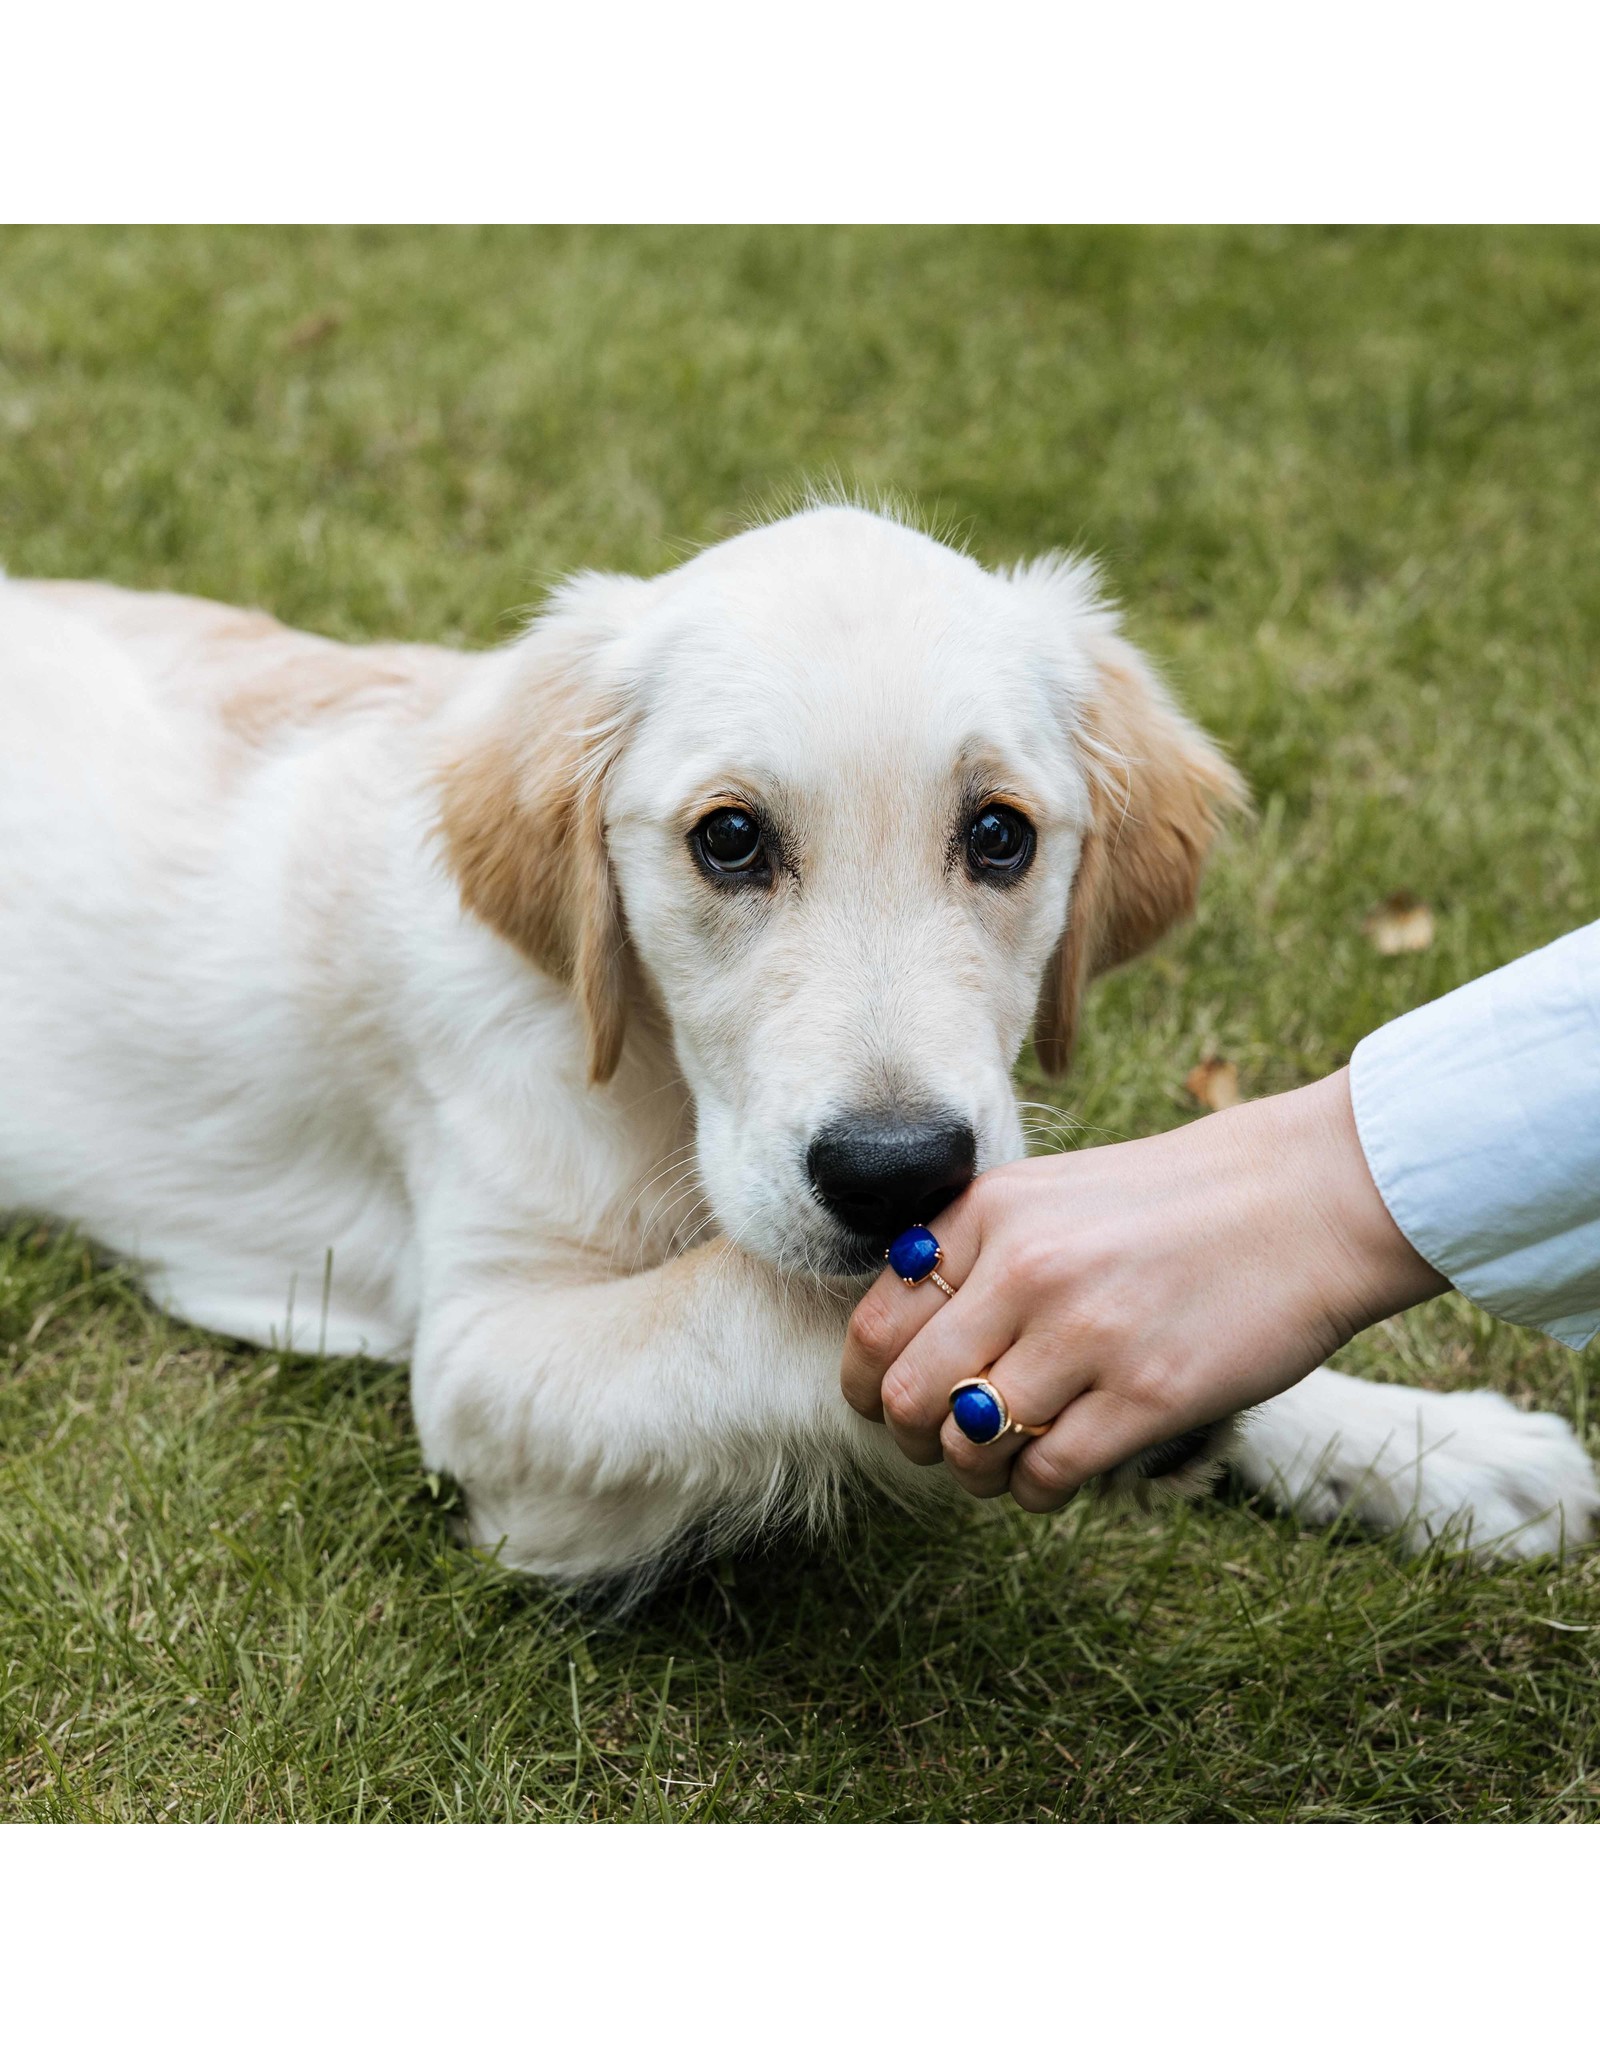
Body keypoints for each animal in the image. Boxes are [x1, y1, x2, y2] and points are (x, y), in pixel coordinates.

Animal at [6, 499, 1589, 1581]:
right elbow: (774, 1302)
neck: (651, 1083)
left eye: (1000, 836)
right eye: (729, 840)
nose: (897, 1172)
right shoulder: (487, 1360)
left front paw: (1428, 1443)